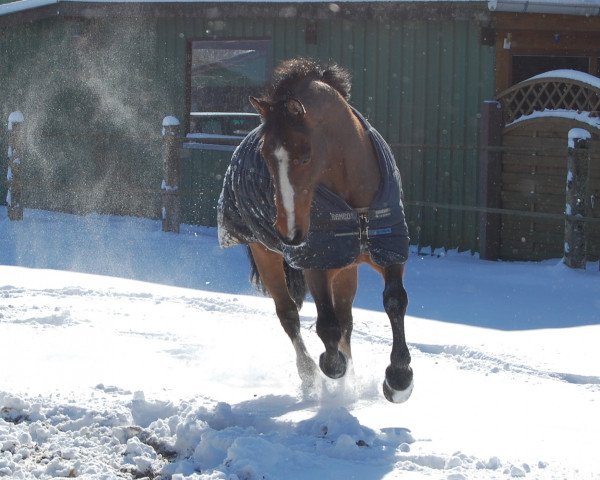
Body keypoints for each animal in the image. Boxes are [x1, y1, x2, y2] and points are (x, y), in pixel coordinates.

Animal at [219, 58, 412, 404]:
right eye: (266, 155)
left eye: (305, 155)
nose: (289, 233)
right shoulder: (315, 262)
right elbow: (326, 325)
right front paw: (332, 366)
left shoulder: (388, 250)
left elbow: (394, 301)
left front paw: (399, 379)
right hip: (267, 256)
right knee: (289, 315)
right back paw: (310, 375)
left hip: (346, 267)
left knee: (345, 320)